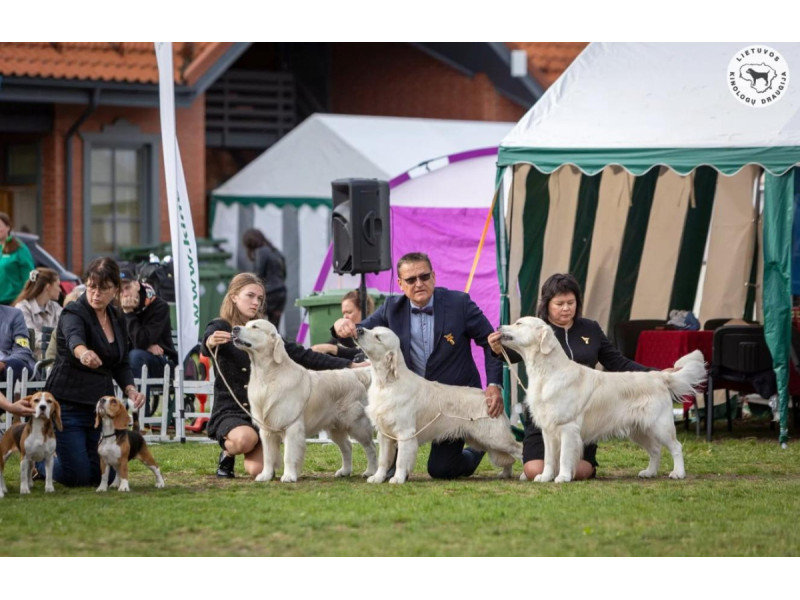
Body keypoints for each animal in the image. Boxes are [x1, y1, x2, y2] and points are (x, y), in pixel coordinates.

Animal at [231, 318, 378, 482]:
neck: (268, 375)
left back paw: (370, 471)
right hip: (335, 426)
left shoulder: (292, 426)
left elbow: (288, 455)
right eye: (246, 324)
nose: (234, 328)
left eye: (255, 327)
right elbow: (268, 456)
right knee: (347, 446)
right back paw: (345, 471)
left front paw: (289, 476)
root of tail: (356, 375)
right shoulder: (266, 428)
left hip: (356, 423)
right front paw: (266, 475)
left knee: (370, 447)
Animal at [500, 318, 708, 482]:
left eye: (519, 323)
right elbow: (550, 459)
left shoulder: (567, 427)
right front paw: (545, 476)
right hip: (639, 429)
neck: (547, 372)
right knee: (656, 450)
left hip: (659, 425)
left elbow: (564, 456)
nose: (500, 327)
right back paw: (649, 472)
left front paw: (563, 477)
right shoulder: (548, 429)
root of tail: (660, 376)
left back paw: (678, 473)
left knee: (676, 447)